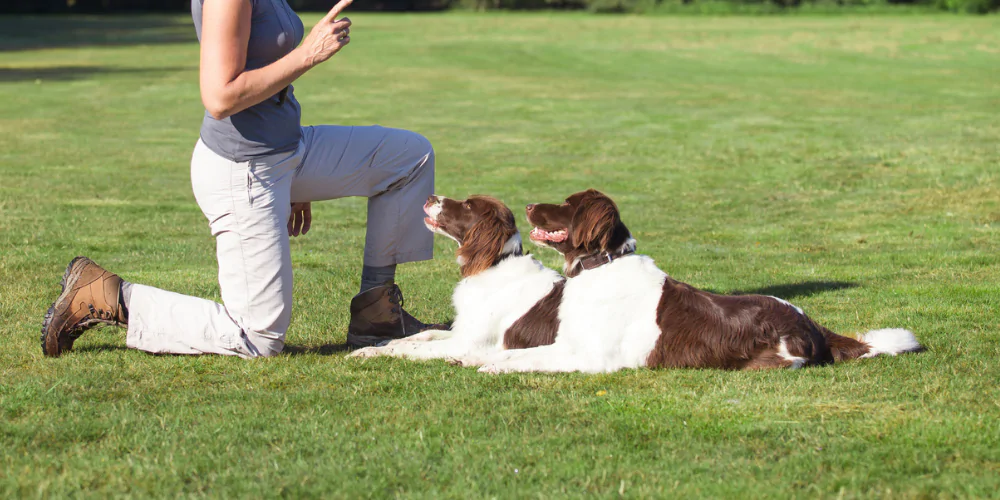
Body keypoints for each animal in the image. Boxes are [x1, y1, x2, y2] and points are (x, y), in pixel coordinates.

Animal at [348, 193, 568, 362]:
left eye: (468, 205)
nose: (430, 197)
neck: (494, 264)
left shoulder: (467, 344)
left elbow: (410, 348)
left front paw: (369, 351)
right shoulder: (462, 331)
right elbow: (426, 334)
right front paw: (387, 340)